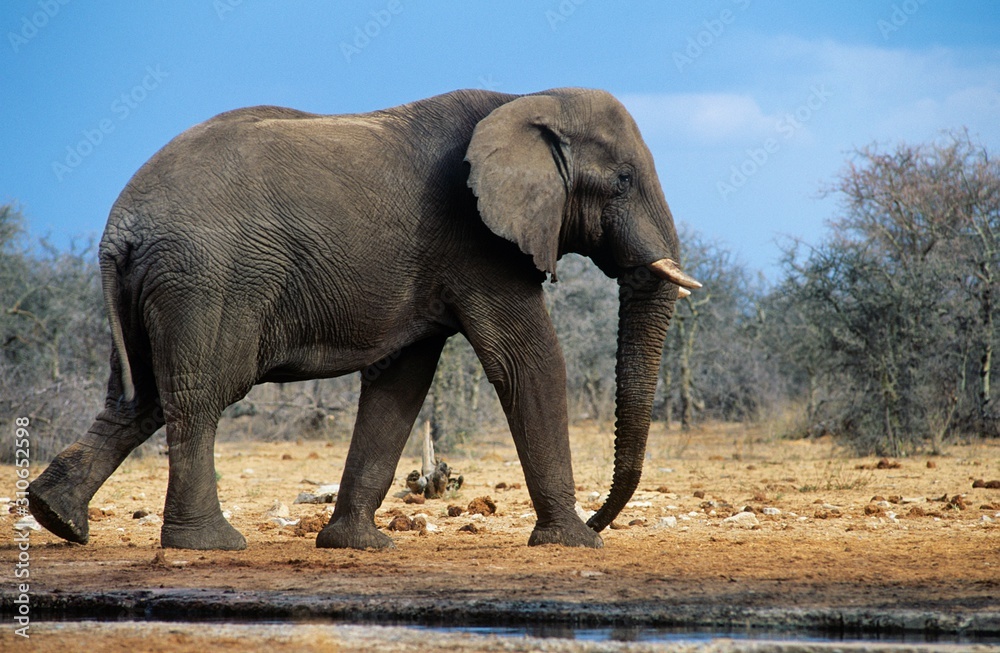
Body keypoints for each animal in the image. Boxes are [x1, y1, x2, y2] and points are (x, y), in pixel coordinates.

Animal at [28, 87, 701, 551]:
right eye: (622, 180)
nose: (601, 517)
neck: (528, 98)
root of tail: (119, 228)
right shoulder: (478, 243)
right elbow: (527, 362)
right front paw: (576, 542)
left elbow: (401, 381)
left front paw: (356, 545)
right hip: (204, 280)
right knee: (198, 396)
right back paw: (208, 544)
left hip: (156, 284)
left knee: (134, 398)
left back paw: (56, 518)